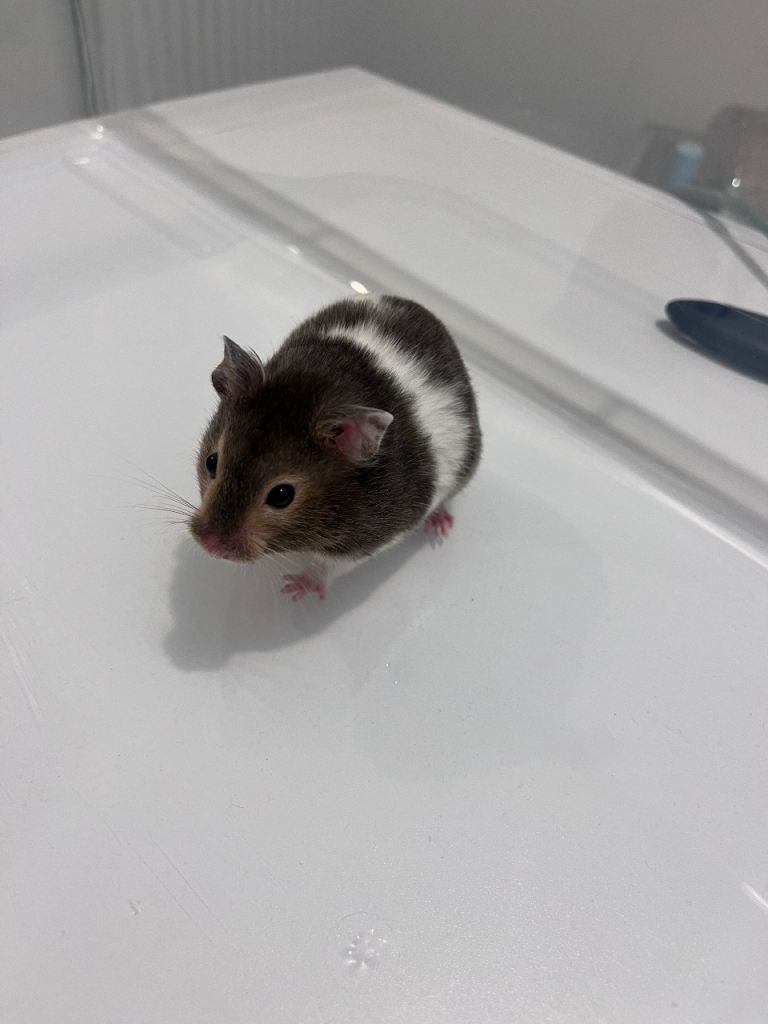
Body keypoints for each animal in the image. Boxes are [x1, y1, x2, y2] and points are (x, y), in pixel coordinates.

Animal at [190, 295, 481, 599]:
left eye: (282, 495)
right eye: (211, 461)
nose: (210, 546)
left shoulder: (369, 539)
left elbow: (329, 566)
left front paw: (294, 591)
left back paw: (439, 527)